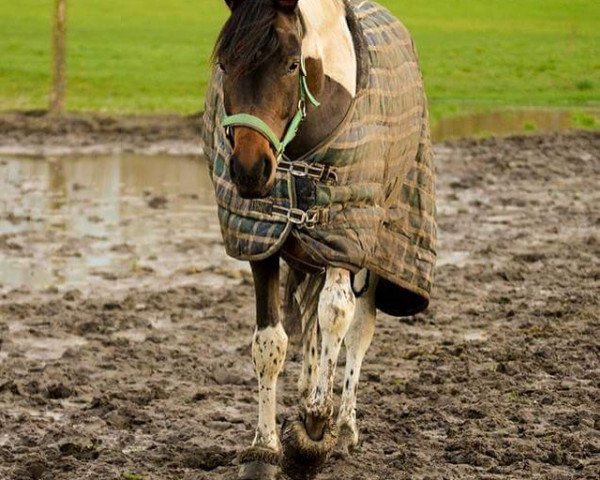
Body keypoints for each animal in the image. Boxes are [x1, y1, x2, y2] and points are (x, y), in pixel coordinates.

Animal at [202, 0, 436, 476]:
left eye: (292, 65)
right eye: (225, 63)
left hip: (373, 248)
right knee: (308, 327)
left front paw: (314, 428)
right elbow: (271, 343)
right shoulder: (264, 245)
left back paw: (342, 426)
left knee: (357, 329)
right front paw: (265, 449)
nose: (250, 170)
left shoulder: (344, 238)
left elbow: (337, 316)